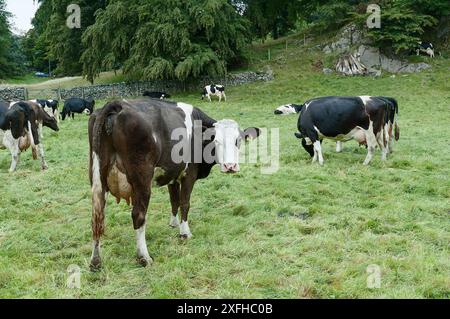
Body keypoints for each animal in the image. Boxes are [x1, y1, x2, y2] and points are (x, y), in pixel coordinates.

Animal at [88, 99, 260, 270]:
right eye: (216, 141)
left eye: (238, 141)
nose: (230, 166)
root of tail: (118, 104)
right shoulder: (188, 175)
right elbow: (184, 203)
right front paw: (185, 232)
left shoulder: (172, 174)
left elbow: (174, 200)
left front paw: (173, 223)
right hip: (142, 180)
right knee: (138, 215)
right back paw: (144, 257)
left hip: (98, 179)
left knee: (97, 216)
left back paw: (95, 260)